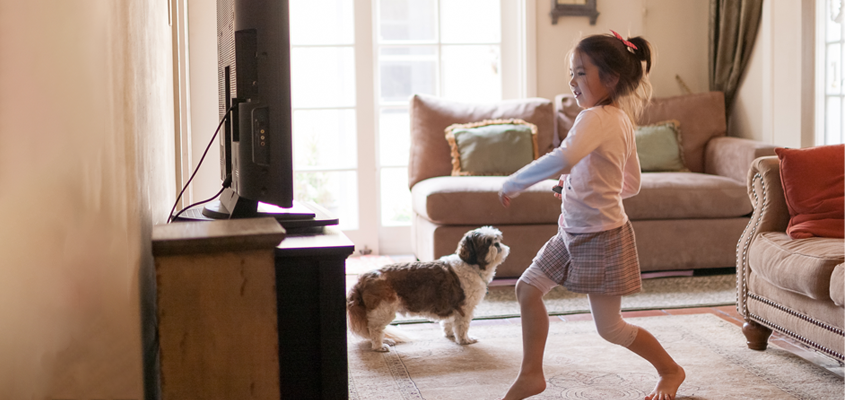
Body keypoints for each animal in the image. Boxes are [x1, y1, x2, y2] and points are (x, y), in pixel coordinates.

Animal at [344, 227, 508, 352]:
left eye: (497, 239)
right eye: (487, 243)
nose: (497, 244)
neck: (471, 265)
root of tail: (363, 278)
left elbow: (449, 323)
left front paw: (450, 334)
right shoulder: (464, 309)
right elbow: (462, 327)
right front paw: (465, 340)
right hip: (383, 310)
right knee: (375, 329)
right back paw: (379, 346)